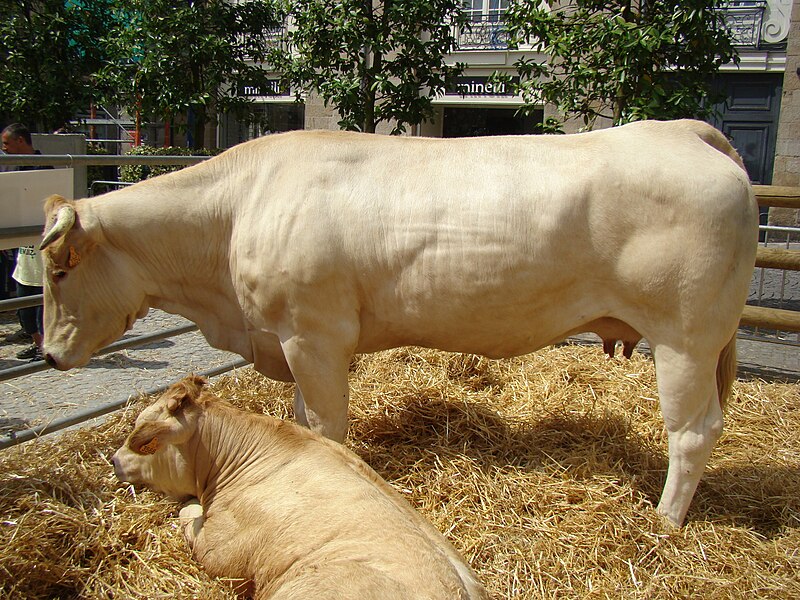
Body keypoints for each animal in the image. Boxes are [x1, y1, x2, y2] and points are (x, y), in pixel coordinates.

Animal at [40, 120, 760, 524]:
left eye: (58, 271)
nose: (46, 355)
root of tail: (683, 130)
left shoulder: (313, 335)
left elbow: (327, 427)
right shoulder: (292, 341)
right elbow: (303, 421)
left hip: (686, 340)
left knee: (693, 432)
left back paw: (664, 522)